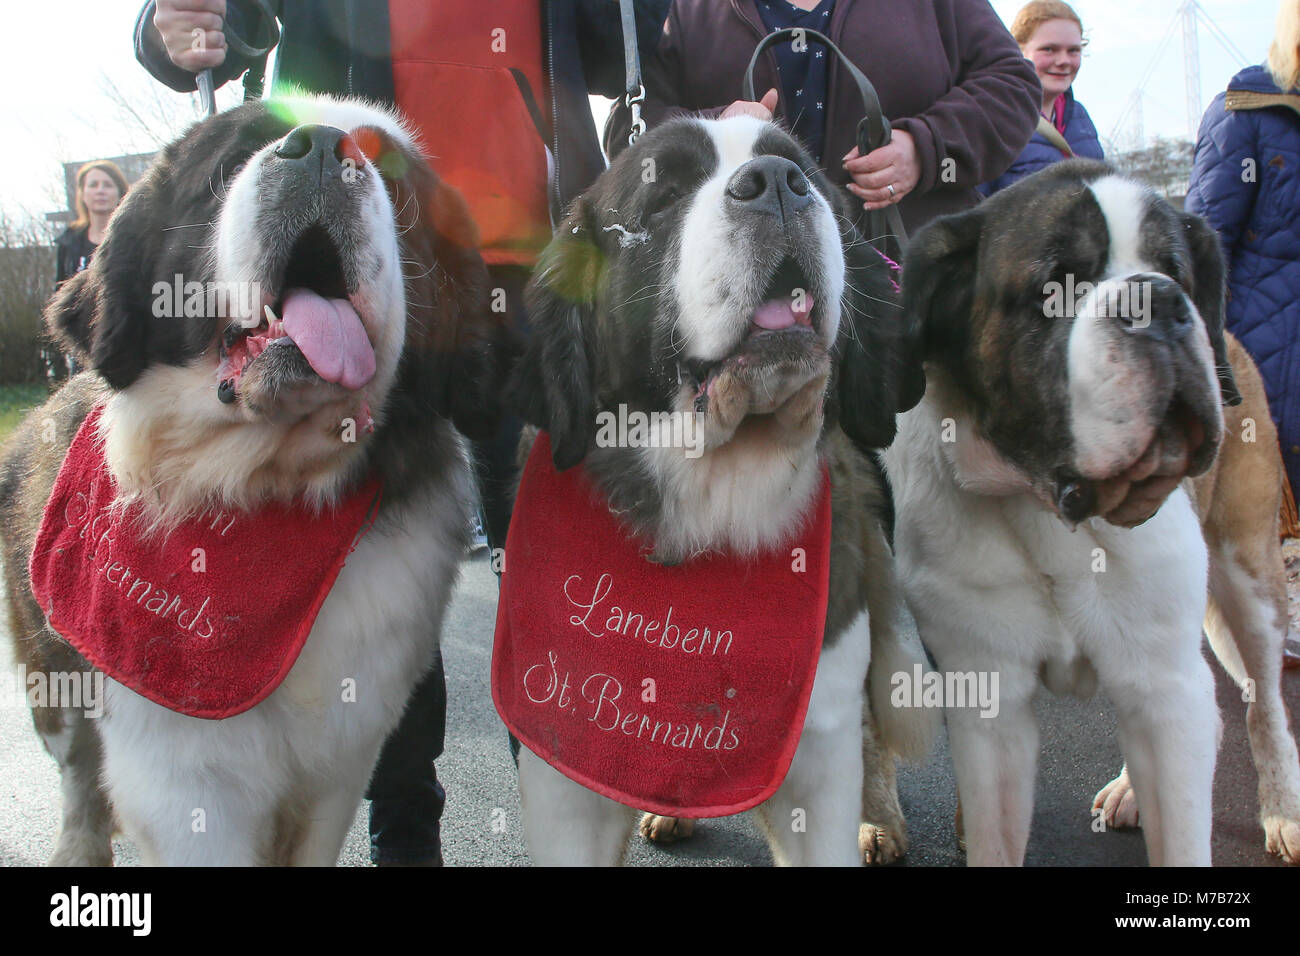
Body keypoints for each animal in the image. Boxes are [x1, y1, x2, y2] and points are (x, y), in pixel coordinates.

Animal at [1, 95, 501, 868]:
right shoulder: (182, 777)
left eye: (392, 179)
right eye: (232, 163)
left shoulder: (340, 763)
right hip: (50, 673)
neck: (264, 488)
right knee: (78, 772)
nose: (322, 148)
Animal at [496, 117, 935, 868]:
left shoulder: (817, 746)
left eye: (803, 172)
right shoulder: (565, 765)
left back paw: (876, 821)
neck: (709, 504)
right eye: (664, 197)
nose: (779, 185)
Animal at [883, 158, 1300, 868]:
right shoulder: (991, 701)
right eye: (1056, 285)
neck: (1050, 509)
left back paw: (1282, 808)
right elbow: (995, 834)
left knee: (1261, 702)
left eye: (1176, 270)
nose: (1159, 300)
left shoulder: (1165, 680)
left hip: (1250, 573)